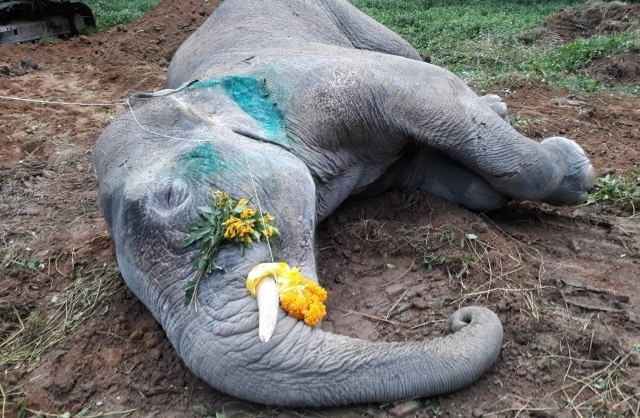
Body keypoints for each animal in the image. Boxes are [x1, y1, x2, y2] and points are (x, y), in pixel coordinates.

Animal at [94, 0, 595, 408]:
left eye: (170, 198)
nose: (463, 317)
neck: (201, 94)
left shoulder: (319, 83)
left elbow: (433, 93)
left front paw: (578, 172)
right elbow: (437, 173)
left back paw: (499, 107)